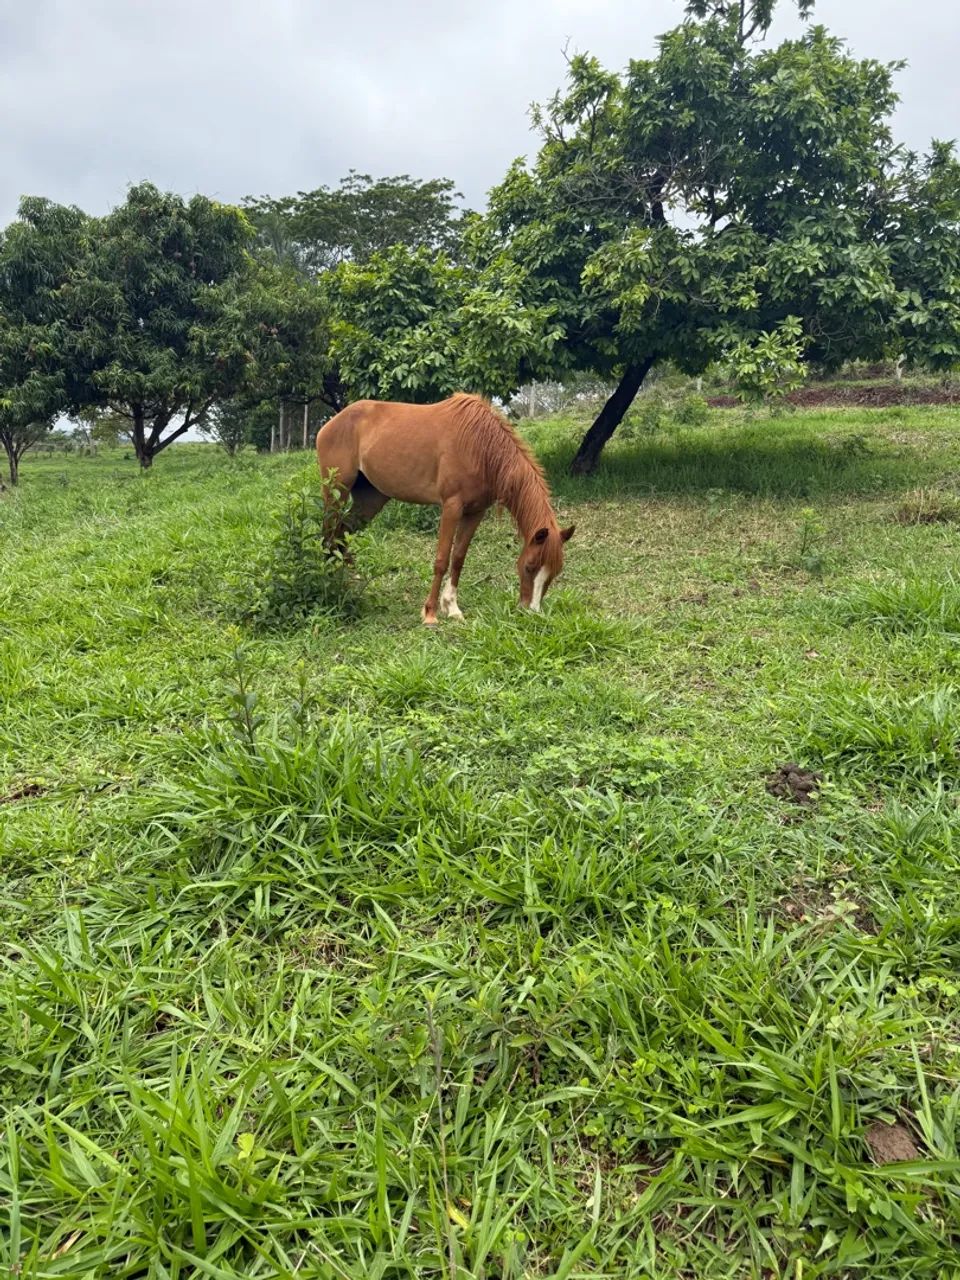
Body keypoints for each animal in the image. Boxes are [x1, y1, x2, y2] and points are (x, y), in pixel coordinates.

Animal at [316, 393, 574, 624]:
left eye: (554, 573)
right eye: (529, 567)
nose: (532, 613)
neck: (480, 446)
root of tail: (330, 424)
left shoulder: (475, 512)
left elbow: (458, 558)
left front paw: (452, 607)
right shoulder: (451, 507)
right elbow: (441, 560)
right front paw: (430, 613)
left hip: (370, 499)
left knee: (341, 533)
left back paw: (348, 579)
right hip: (336, 491)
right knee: (329, 535)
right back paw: (329, 580)